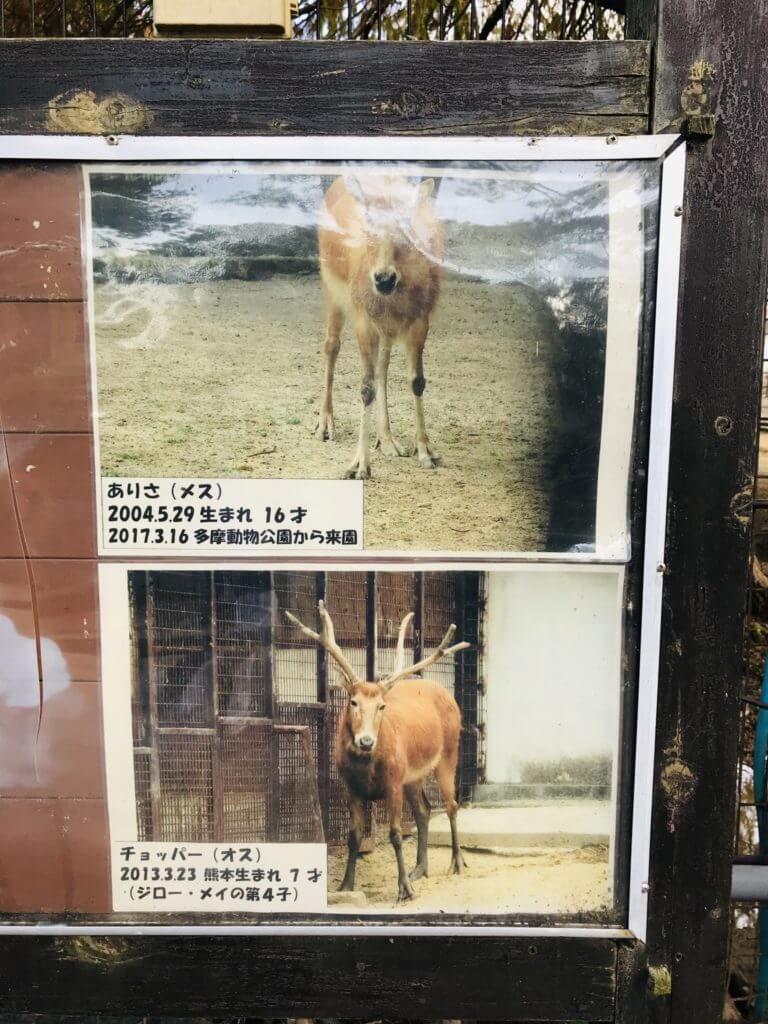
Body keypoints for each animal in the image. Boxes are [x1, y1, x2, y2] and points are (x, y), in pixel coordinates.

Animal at [286, 598, 468, 905]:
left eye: (382, 705)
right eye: (353, 702)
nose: (366, 741)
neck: (366, 769)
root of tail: (447, 693)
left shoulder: (393, 782)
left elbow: (395, 834)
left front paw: (404, 889)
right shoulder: (351, 787)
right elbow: (354, 836)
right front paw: (345, 885)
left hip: (449, 752)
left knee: (452, 805)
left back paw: (456, 862)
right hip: (413, 775)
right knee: (424, 810)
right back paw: (420, 868)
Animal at [313, 172, 444, 479]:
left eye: (406, 229)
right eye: (368, 225)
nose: (383, 279)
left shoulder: (420, 318)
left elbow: (417, 381)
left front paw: (425, 450)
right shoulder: (363, 317)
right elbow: (365, 388)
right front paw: (359, 465)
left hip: (387, 326)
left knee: (383, 366)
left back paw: (387, 439)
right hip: (331, 288)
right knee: (331, 345)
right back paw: (325, 424)